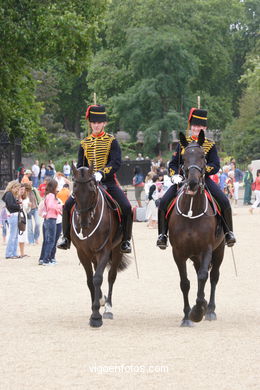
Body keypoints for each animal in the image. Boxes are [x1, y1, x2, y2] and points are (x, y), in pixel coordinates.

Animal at [70, 163, 129, 328]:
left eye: (91, 190)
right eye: (74, 191)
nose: (83, 223)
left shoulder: (104, 250)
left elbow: (98, 278)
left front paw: (96, 316)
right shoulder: (82, 253)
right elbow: (90, 280)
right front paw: (94, 307)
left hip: (117, 250)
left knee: (111, 276)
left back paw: (108, 308)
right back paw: (102, 299)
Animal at [169, 131, 225, 326]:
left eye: (202, 156)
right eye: (184, 157)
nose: (193, 182)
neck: (192, 210)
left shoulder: (207, 249)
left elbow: (203, 277)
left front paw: (198, 311)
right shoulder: (178, 253)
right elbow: (185, 283)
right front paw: (187, 316)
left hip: (219, 250)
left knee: (213, 276)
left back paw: (210, 310)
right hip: (194, 256)